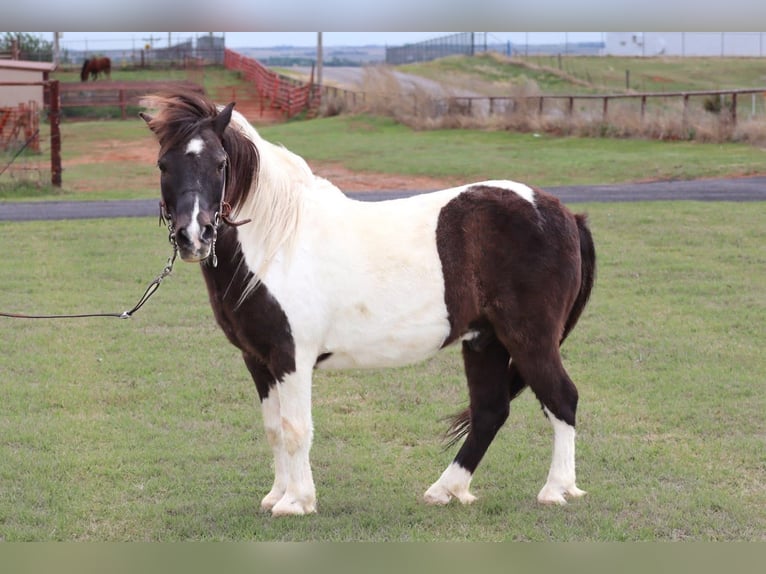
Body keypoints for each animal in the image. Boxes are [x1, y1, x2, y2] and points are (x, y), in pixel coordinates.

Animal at [140, 91, 596, 517]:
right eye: (163, 165)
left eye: (219, 163)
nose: (193, 236)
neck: (278, 241)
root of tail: (566, 215)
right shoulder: (258, 360)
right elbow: (273, 429)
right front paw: (276, 496)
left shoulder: (291, 357)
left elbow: (295, 428)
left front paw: (297, 501)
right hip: (485, 340)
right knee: (490, 411)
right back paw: (446, 490)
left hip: (529, 338)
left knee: (561, 399)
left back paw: (556, 490)